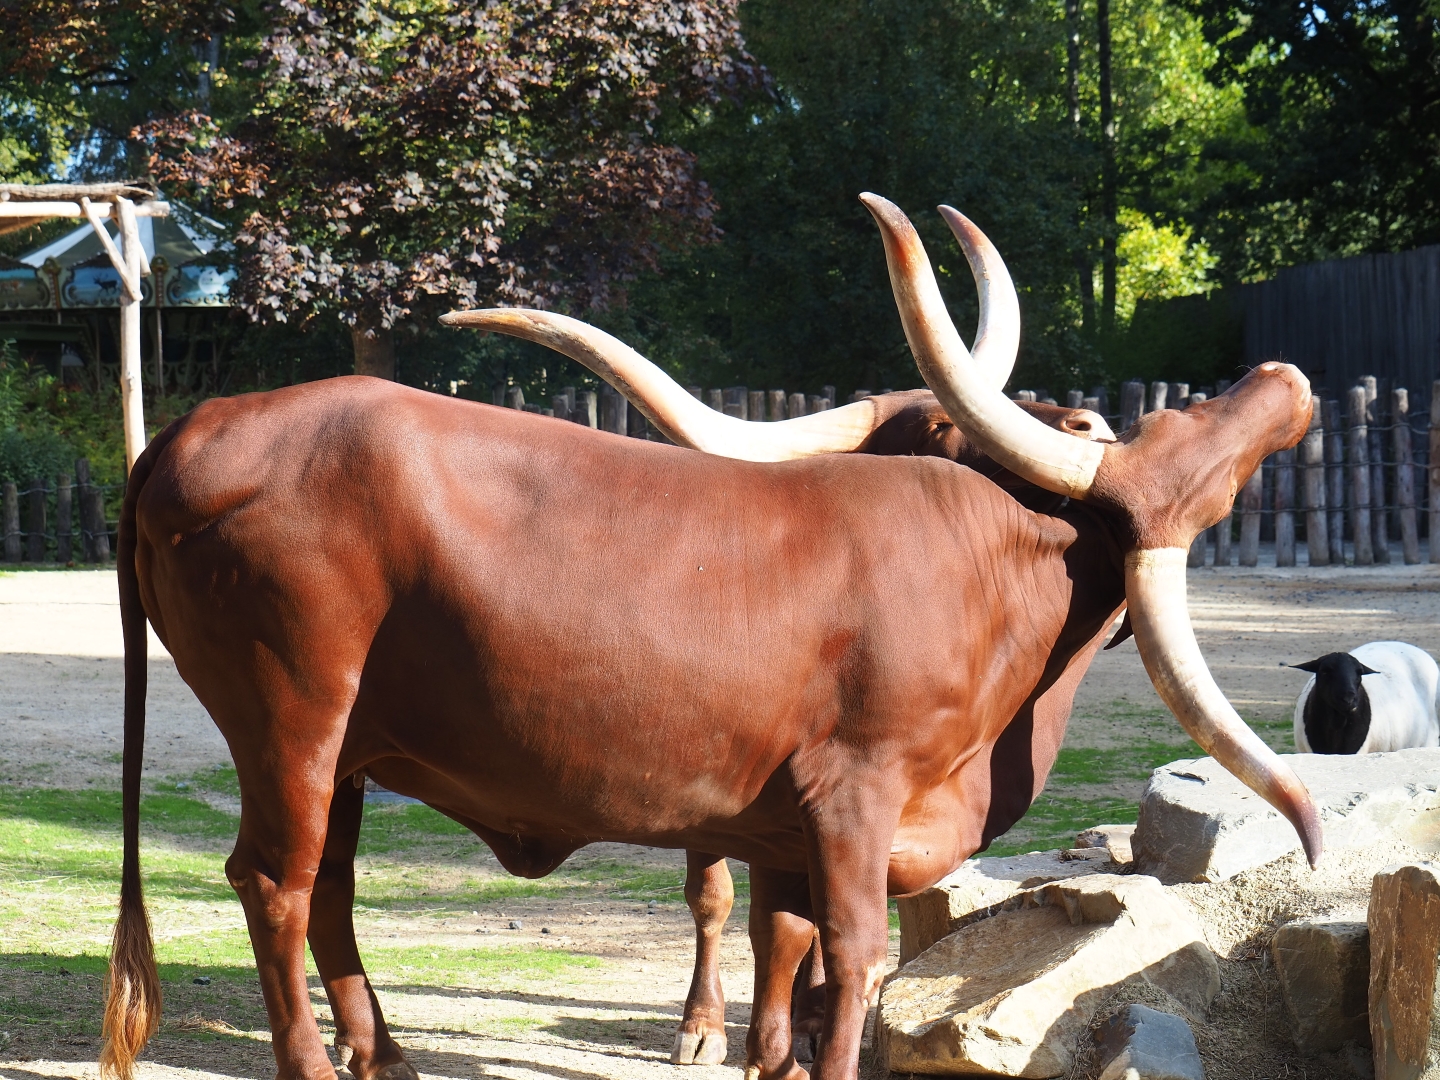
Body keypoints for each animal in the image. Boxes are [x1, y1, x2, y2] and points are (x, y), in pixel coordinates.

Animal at [101, 194, 1322, 1080]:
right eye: (1174, 435)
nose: (1287, 380)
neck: (988, 556)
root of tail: (187, 435)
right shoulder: (853, 796)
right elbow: (851, 958)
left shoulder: (784, 823)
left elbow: (785, 955)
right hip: (291, 718)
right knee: (276, 883)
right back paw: (316, 1063)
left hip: (346, 745)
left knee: (333, 888)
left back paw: (387, 1056)